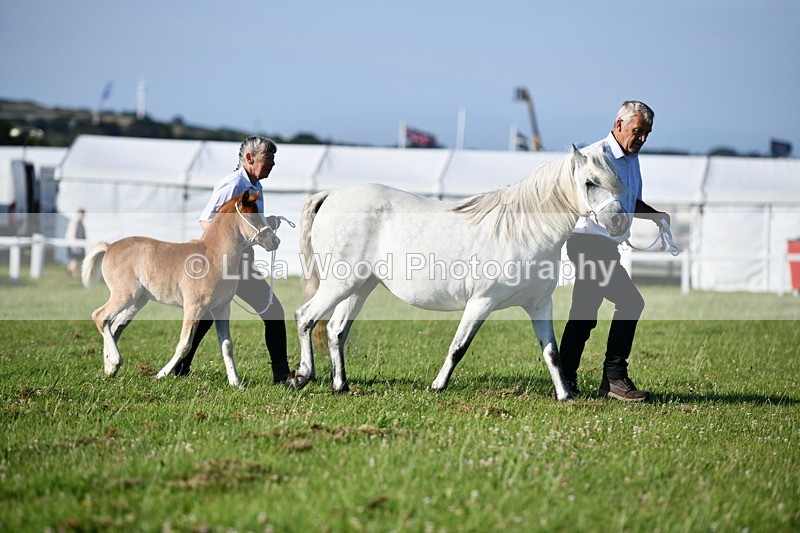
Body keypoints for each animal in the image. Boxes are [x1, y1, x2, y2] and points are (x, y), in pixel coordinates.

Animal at [81, 191, 280, 387]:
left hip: (138, 300)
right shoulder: (194, 307)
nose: (275, 241)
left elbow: (227, 345)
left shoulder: (221, 308)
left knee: (115, 326)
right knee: (100, 316)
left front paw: (236, 382)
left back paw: (109, 368)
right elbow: (185, 345)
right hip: (125, 295)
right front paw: (160, 374)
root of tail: (109, 247)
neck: (214, 257)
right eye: (253, 216)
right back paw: (115, 362)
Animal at [289, 145, 629, 401]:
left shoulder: (539, 304)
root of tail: (331, 195)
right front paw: (437, 385)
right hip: (339, 283)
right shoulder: (481, 302)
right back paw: (302, 376)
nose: (618, 223)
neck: (523, 230)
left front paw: (564, 395)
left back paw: (341, 386)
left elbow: (551, 352)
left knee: (336, 330)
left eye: (614, 181)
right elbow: (458, 347)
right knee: (306, 317)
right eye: (590, 182)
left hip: (359, 286)